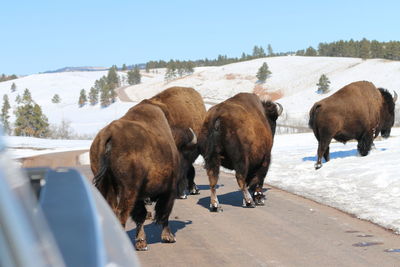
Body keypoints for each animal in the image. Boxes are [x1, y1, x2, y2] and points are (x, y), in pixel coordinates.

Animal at [89, 101, 195, 251]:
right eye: (185, 153)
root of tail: (110, 133)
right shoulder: (170, 190)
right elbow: (163, 213)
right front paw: (168, 237)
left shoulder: (140, 196)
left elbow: (141, 216)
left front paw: (141, 243)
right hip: (128, 189)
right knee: (121, 212)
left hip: (106, 185)